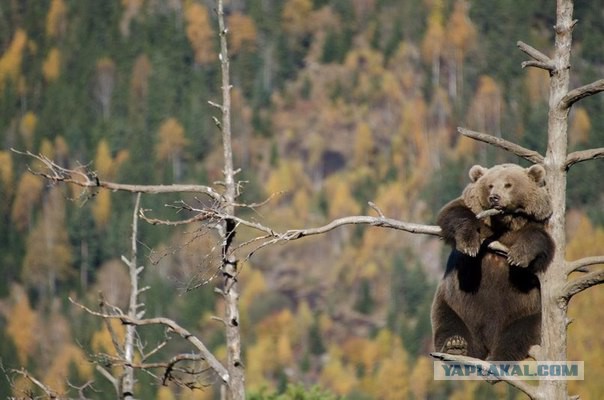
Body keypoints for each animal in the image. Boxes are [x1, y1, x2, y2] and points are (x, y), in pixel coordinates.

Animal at [432, 164, 556, 360]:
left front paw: (518, 256)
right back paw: (455, 346)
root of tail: (486, 342)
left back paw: (498, 358)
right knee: (449, 324)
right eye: (490, 185)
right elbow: (454, 214)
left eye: (508, 184)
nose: (494, 197)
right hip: (454, 305)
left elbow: (539, 239)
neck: (504, 222)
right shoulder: (473, 210)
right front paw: (469, 243)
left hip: (529, 312)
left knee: (518, 335)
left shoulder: (537, 223)